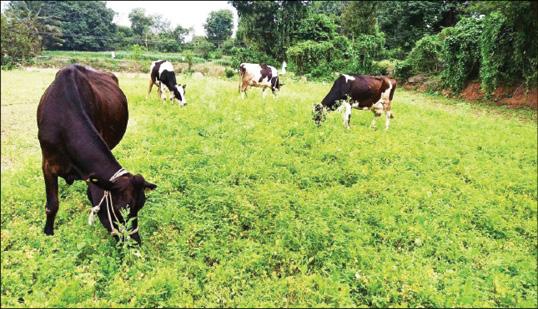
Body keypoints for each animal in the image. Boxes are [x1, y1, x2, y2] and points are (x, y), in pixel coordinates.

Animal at [36, 64, 155, 243]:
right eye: (120, 208)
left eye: (140, 206)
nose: (135, 241)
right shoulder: (47, 164)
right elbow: (52, 205)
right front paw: (48, 233)